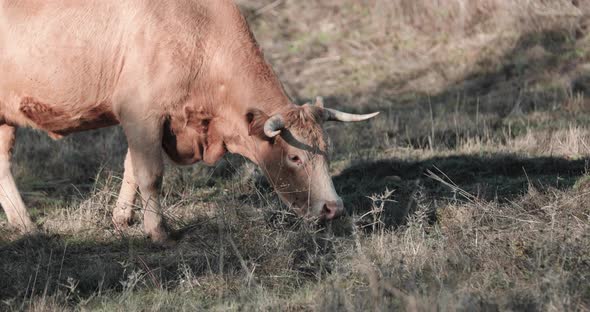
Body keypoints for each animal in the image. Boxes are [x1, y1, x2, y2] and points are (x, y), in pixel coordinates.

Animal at [0, 0, 380, 244]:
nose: (333, 209)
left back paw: (25, 225)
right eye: (295, 157)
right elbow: (150, 174)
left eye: (328, 151)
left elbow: (131, 167)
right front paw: (159, 232)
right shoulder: (140, 112)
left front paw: (123, 219)